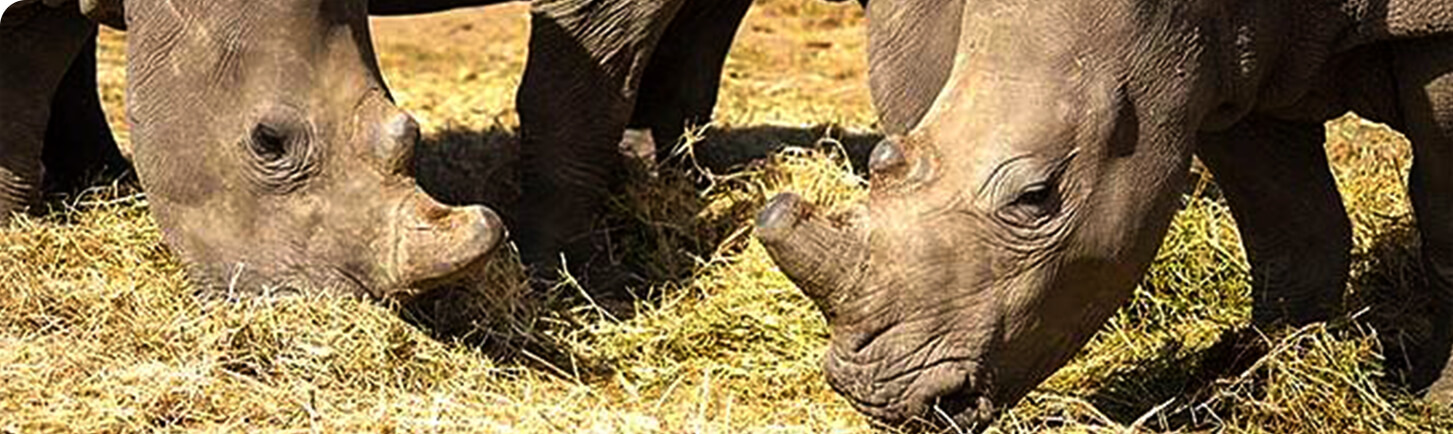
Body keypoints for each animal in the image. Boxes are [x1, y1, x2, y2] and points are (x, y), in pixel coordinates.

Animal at [761, 0, 1453, 429]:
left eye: (1037, 196)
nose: (881, 399)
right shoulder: (1227, 60)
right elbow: (1290, 222)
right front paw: (1249, 386)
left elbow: (1442, 218)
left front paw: (1438, 404)